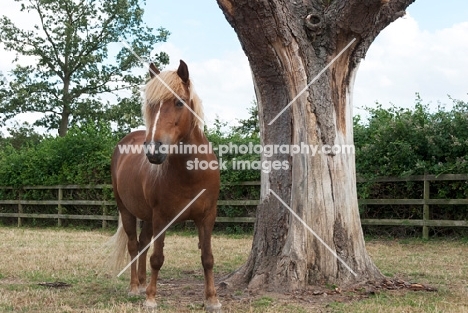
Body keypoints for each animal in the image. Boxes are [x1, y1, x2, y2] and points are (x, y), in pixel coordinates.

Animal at [109, 59, 221, 310]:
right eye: (151, 104)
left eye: (179, 102)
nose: (153, 150)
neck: (191, 174)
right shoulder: (162, 217)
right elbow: (157, 258)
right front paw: (151, 298)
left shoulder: (207, 217)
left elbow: (208, 258)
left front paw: (212, 299)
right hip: (127, 210)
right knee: (134, 245)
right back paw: (135, 287)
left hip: (148, 217)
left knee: (142, 243)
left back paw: (141, 284)